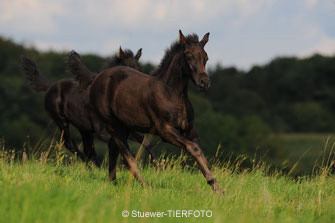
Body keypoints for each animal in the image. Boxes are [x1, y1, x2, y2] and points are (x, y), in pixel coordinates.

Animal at [21, 48, 155, 166]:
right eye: (126, 70)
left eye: (139, 69)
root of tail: (50, 86)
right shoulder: (102, 132)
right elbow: (125, 147)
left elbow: (145, 141)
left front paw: (157, 165)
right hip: (61, 121)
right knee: (70, 144)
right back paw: (90, 166)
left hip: (83, 128)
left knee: (88, 149)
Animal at [70, 30, 224, 193]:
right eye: (188, 55)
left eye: (206, 57)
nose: (204, 82)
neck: (173, 93)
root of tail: (97, 78)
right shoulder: (165, 131)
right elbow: (193, 148)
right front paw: (217, 187)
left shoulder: (190, 130)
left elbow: (200, 152)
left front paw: (216, 186)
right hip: (113, 126)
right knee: (128, 158)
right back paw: (146, 187)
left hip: (124, 127)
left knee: (113, 150)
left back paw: (113, 182)